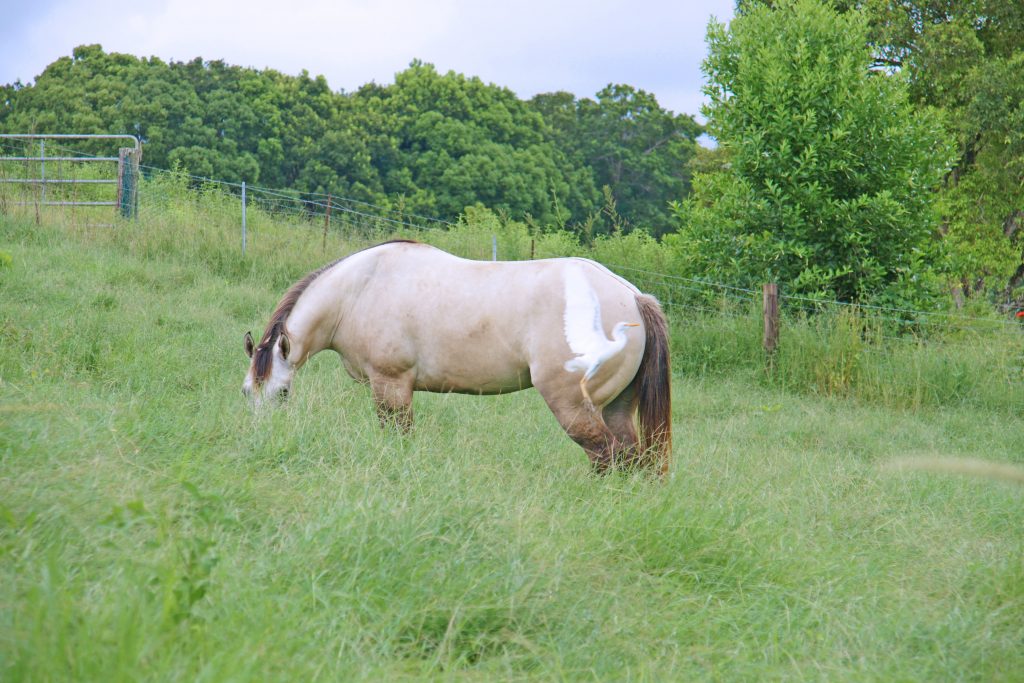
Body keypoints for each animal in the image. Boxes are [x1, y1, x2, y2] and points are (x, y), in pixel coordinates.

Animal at [240, 241, 671, 475]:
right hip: (616, 407)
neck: (359, 290)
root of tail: (634, 296)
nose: (263, 440)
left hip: (574, 406)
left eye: (282, 393)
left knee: (605, 456)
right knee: (632, 458)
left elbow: (398, 436)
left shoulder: (391, 385)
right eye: (247, 392)